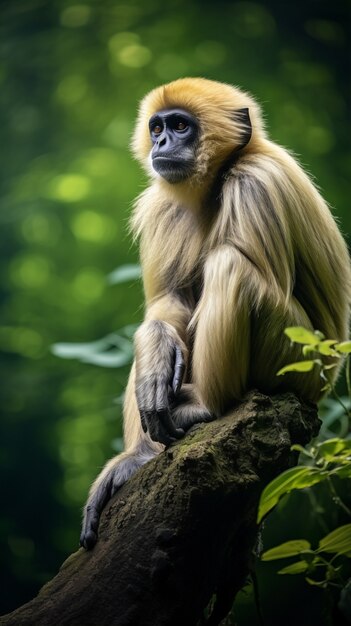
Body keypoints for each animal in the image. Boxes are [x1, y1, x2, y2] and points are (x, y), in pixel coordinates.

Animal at [80, 77, 351, 544]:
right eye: (157, 128)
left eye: (180, 126)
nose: (162, 142)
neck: (218, 180)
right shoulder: (161, 206)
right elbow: (166, 307)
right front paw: (155, 353)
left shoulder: (256, 183)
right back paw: (140, 455)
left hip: (299, 365)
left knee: (230, 264)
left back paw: (207, 405)